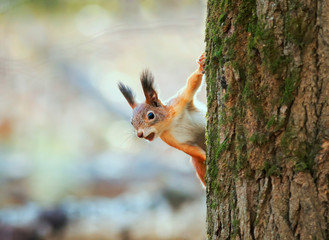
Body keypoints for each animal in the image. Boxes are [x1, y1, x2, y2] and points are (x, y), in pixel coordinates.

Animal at [118, 53, 205, 187]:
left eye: (150, 115)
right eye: (131, 122)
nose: (139, 134)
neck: (171, 123)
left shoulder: (179, 102)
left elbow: (192, 82)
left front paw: (201, 65)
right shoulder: (170, 139)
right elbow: (190, 150)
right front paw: (206, 157)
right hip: (197, 164)